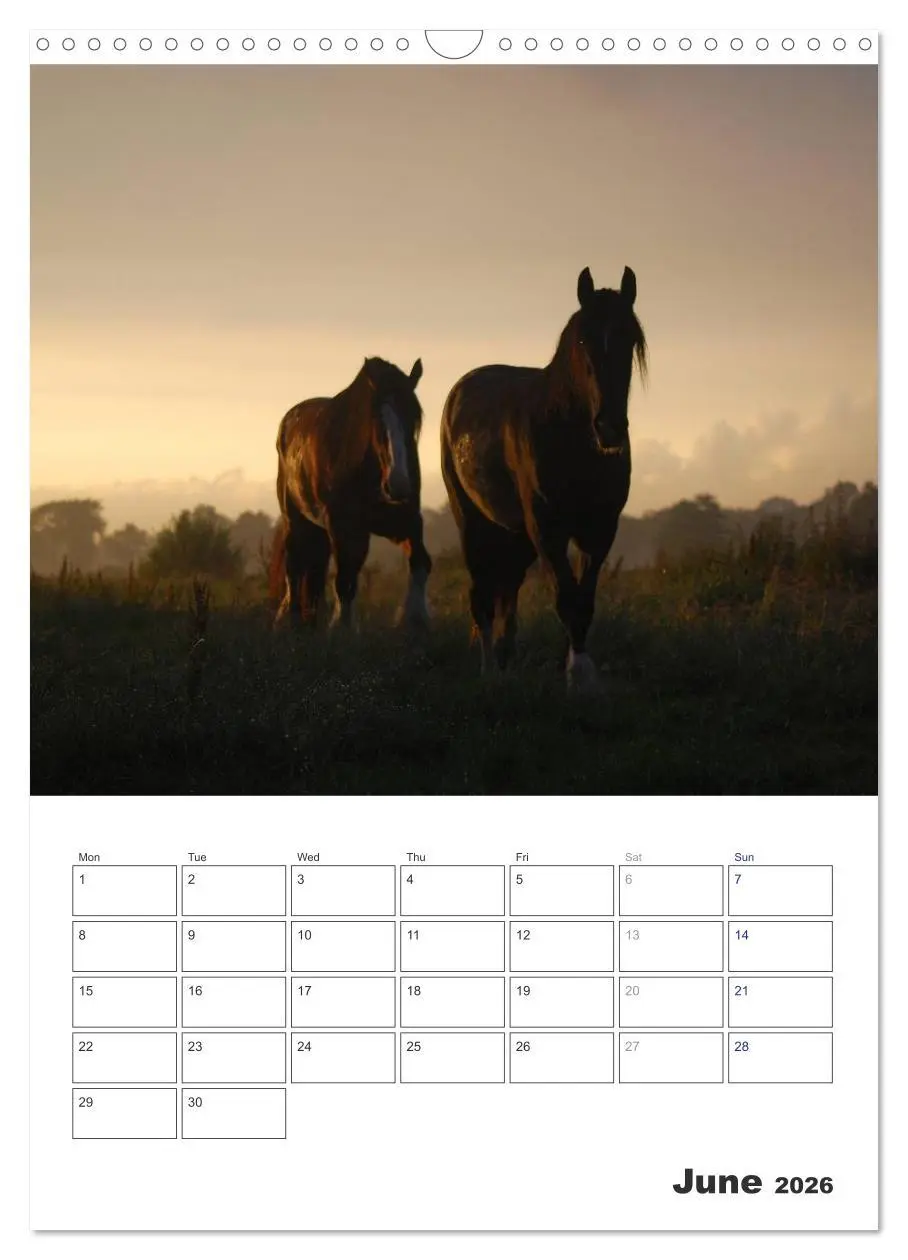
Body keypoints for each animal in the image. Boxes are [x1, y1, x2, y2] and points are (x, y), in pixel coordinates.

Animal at [272, 356, 431, 630]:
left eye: (413, 417)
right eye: (378, 421)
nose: (398, 485)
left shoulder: (403, 520)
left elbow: (420, 561)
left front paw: (415, 619)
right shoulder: (343, 526)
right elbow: (345, 579)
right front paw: (341, 627)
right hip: (295, 520)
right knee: (294, 569)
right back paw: (292, 621)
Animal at [440, 265, 646, 689]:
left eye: (630, 339)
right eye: (583, 339)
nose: (610, 428)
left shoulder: (600, 529)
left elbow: (584, 600)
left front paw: (582, 673)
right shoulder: (547, 528)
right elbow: (566, 598)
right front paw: (578, 674)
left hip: (516, 533)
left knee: (508, 589)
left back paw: (505, 656)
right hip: (471, 521)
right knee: (482, 595)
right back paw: (489, 668)